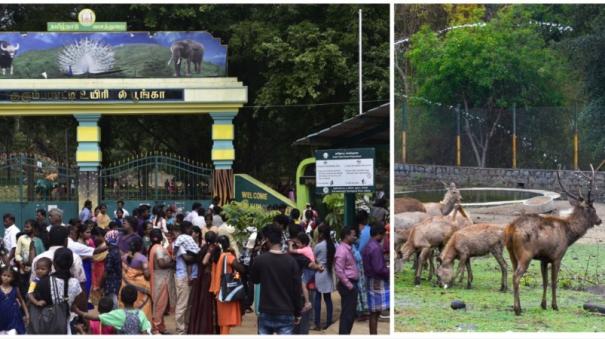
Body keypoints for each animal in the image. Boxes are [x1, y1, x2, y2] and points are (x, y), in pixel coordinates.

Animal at [502, 161, 600, 316]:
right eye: (593, 209)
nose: (599, 220)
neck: (569, 235)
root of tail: (511, 229)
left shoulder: (544, 259)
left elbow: (545, 281)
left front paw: (543, 305)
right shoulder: (557, 256)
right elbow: (554, 281)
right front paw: (555, 305)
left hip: (511, 253)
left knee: (513, 273)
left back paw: (519, 306)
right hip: (525, 254)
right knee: (516, 276)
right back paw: (517, 309)